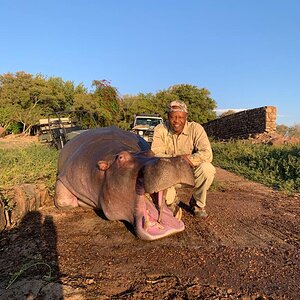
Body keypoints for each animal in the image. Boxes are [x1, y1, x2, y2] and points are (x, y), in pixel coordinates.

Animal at [54, 125, 195, 240]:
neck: (111, 157)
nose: (173, 160)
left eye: (151, 152)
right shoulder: (67, 175)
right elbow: (63, 200)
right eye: (121, 158)